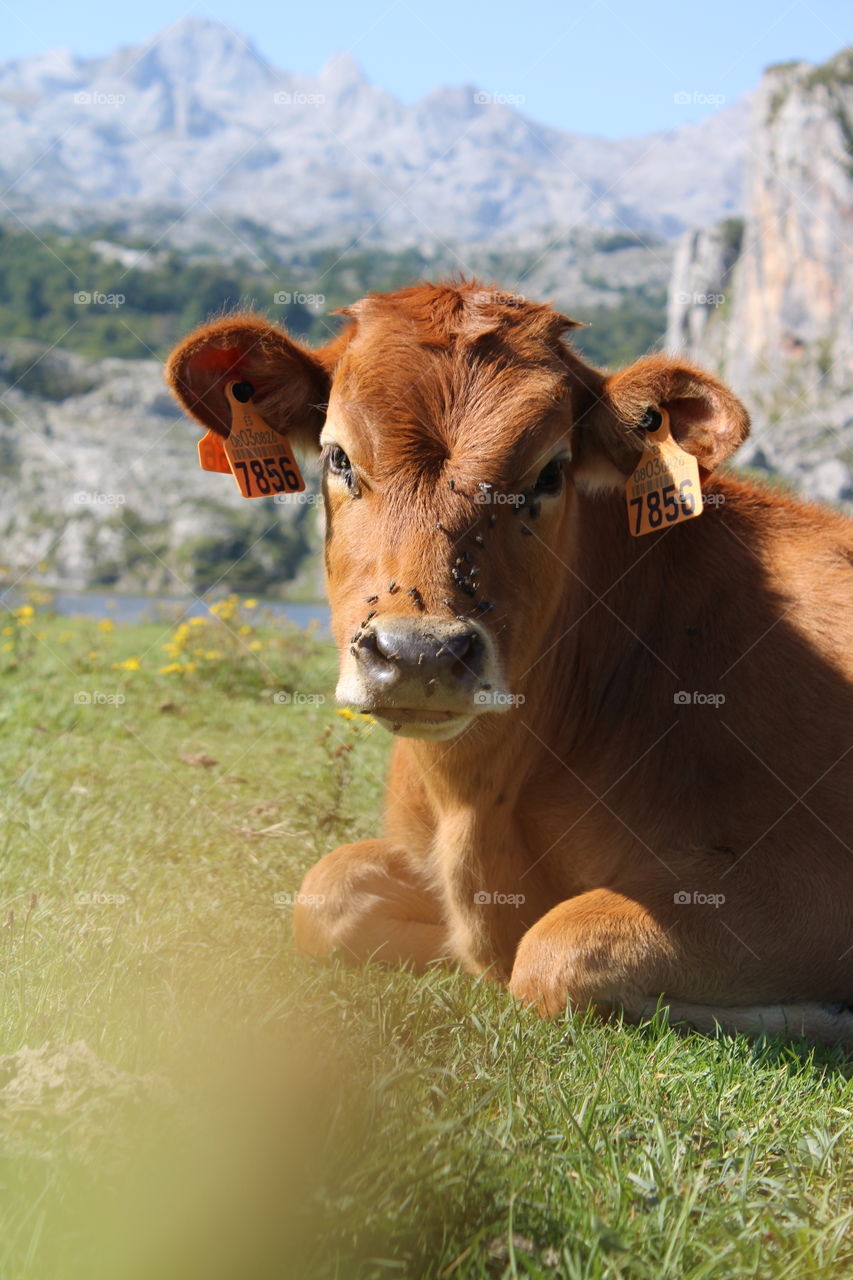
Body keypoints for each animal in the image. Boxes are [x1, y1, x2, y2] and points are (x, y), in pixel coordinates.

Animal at [166, 280, 850, 1039]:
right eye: (338, 457)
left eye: (550, 472)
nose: (420, 654)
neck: (478, 802)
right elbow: (326, 892)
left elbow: (554, 948)